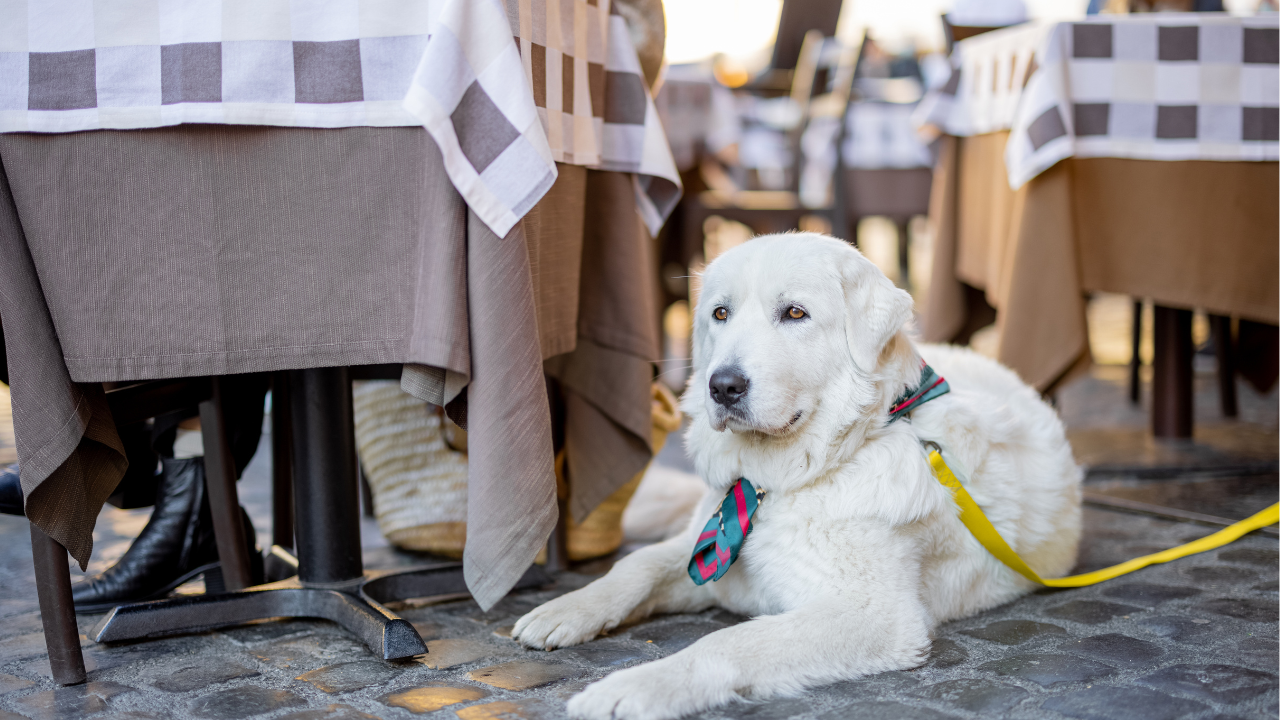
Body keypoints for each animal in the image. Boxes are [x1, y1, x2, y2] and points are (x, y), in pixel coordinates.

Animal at [509, 233, 1080, 712]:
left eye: (795, 312)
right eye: (720, 313)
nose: (723, 386)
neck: (777, 483)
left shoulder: (871, 614)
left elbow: (728, 641)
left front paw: (634, 688)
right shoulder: (706, 551)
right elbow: (637, 565)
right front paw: (567, 609)